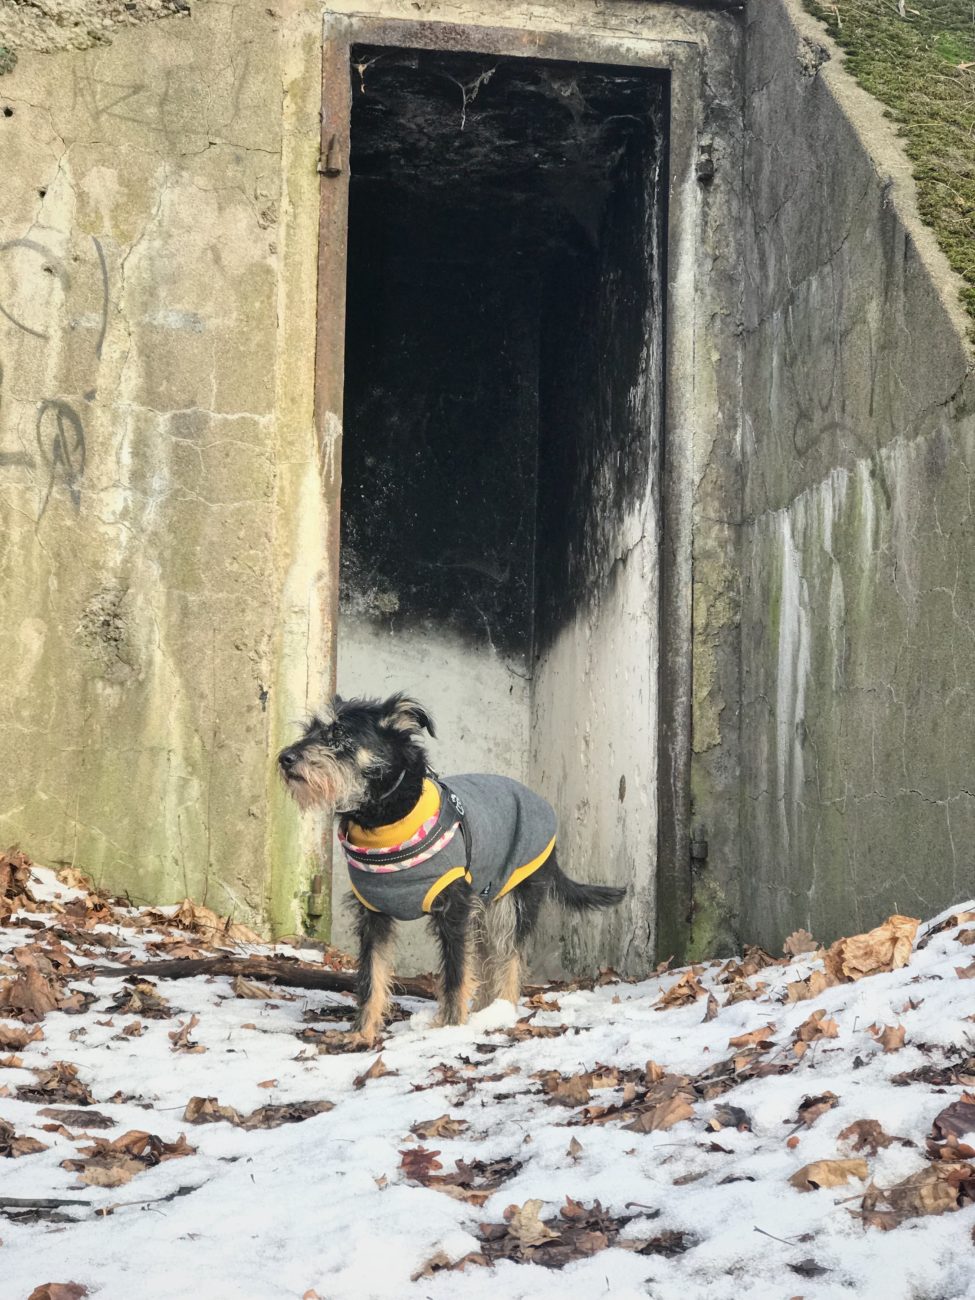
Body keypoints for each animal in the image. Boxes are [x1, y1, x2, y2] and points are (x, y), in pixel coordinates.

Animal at [278, 692, 625, 1043]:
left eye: (338, 733)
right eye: (310, 729)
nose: (284, 758)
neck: (386, 820)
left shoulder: (454, 908)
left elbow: (456, 972)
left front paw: (450, 1028)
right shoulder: (374, 915)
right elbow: (371, 975)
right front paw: (361, 1033)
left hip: (513, 903)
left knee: (509, 956)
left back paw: (504, 1010)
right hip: (484, 903)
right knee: (486, 959)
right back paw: (486, 1010)